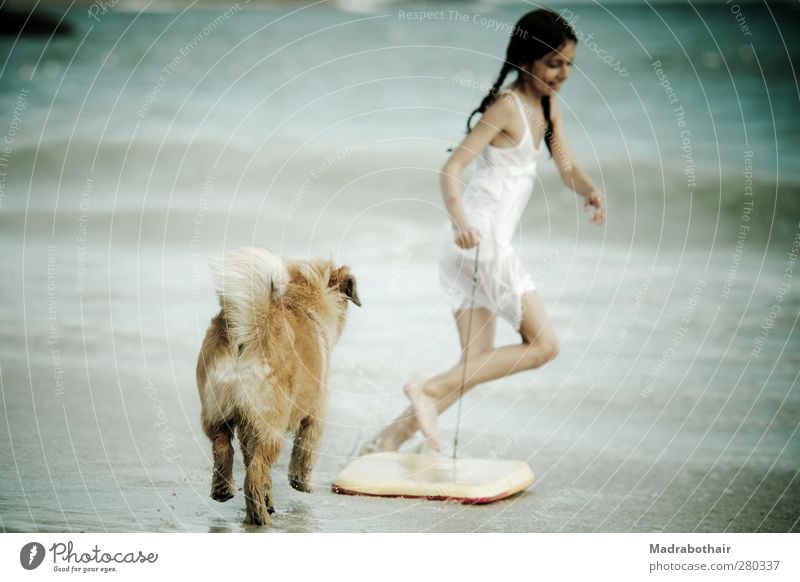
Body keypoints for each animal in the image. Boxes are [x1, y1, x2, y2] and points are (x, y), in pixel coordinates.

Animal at [198, 249, 360, 528]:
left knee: (224, 449)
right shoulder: (316, 413)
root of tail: (247, 335)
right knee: (254, 474)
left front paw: (270, 499)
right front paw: (302, 483)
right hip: (270, 425)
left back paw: (223, 491)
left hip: (219, 413)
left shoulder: (247, 427)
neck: (305, 303)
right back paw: (260, 518)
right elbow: (304, 453)